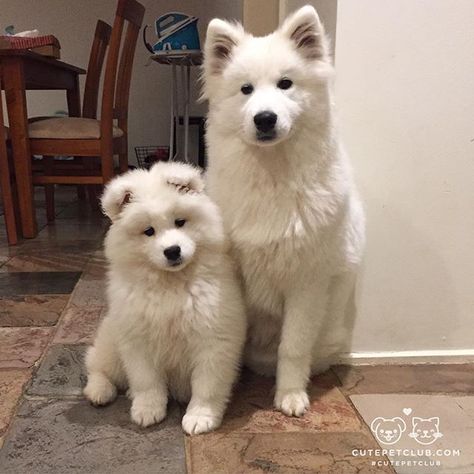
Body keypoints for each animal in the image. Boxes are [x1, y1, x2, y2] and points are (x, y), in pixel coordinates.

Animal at [84, 162, 246, 434]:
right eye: (149, 231)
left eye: (180, 222)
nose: (172, 251)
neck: (171, 284)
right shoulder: (139, 342)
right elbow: (147, 382)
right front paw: (147, 410)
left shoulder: (214, 341)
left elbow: (207, 386)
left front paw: (200, 417)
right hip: (112, 344)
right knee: (96, 365)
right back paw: (99, 391)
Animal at [204, 5, 366, 416]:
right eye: (245, 89)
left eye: (285, 84)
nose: (265, 118)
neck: (272, 177)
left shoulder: (306, 285)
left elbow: (292, 348)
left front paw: (290, 396)